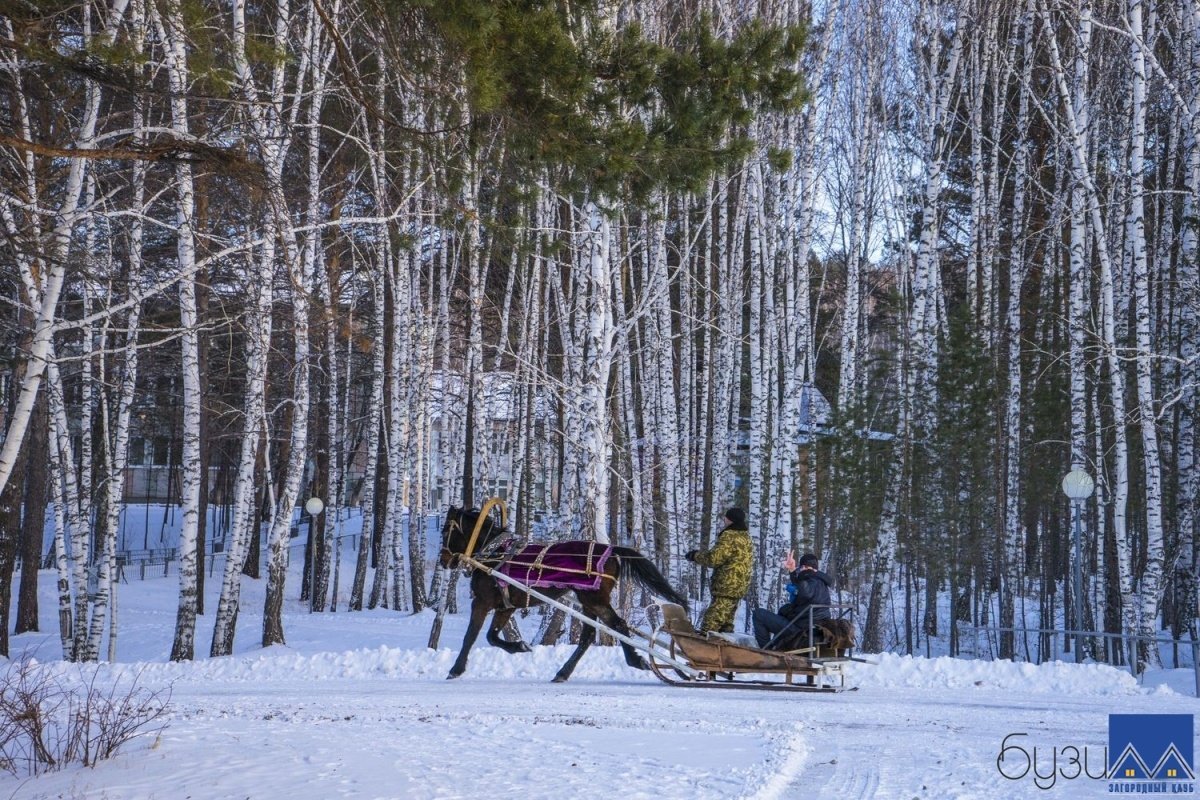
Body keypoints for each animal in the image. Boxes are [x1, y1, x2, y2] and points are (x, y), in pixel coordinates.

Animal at [439, 506, 686, 681]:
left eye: (446, 531)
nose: (443, 560)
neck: (493, 554)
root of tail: (612, 550)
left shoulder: (482, 602)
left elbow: (471, 635)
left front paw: (455, 669)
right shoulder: (506, 606)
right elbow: (492, 636)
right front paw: (519, 646)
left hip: (594, 599)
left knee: (618, 625)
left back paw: (635, 660)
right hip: (588, 601)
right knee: (589, 635)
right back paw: (563, 672)